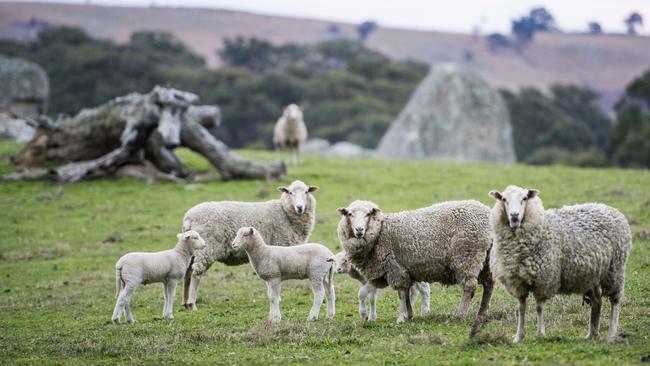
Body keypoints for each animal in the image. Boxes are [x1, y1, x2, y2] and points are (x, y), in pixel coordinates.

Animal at [181, 179, 318, 310]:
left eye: (306, 192)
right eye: (289, 192)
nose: (300, 207)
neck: (284, 213)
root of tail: (188, 218)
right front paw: (277, 298)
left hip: (193, 250)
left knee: (187, 273)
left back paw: (185, 303)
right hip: (206, 249)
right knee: (195, 274)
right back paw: (192, 305)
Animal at [336, 200, 494, 338]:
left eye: (368, 214)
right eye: (349, 214)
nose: (359, 230)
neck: (380, 231)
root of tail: (488, 213)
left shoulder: (395, 268)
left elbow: (401, 293)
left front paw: (401, 317)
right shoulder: (404, 270)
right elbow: (406, 293)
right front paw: (409, 314)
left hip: (467, 256)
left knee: (470, 287)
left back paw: (459, 314)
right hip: (487, 259)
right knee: (489, 285)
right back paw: (482, 313)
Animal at [488, 186, 632, 344]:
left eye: (525, 198)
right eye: (504, 199)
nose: (514, 216)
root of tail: (610, 209)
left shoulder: (544, 279)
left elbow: (539, 307)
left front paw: (540, 334)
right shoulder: (518, 282)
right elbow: (521, 308)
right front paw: (518, 336)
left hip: (614, 271)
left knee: (615, 301)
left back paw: (611, 335)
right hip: (591, 276)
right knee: (597, 301)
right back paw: (591, 335)